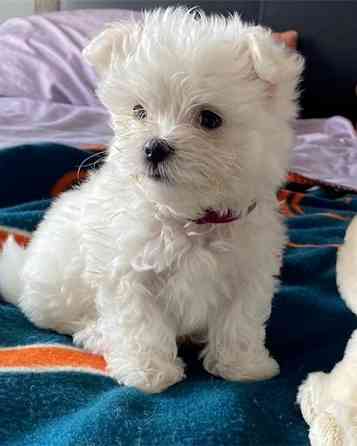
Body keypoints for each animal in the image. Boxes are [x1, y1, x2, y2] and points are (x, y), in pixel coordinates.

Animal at [0, 6, 302, 390]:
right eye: (139, 111)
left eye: (209, 118)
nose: (154, 147)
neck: (190, 216)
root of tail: (22, 279)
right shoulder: (128, 271)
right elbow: (140, 324)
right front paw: (148, 373)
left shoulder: (249, 270)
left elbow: (241, 320)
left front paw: (243, 366)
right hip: (58, 286)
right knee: (66, 320)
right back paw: (96, 334)